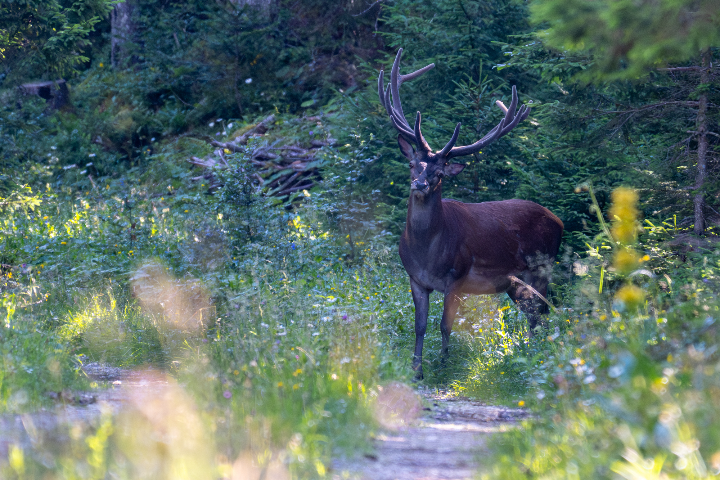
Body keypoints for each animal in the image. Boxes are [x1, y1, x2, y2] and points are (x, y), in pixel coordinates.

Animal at [378, 49, 564, 379]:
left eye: (440, 173)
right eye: (412, 164)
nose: (419, 183)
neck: (426, 253)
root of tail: (559, 221)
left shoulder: (457, 275)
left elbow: (445, 325)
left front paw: (443, 365)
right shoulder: (415, 278)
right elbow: (420, 326)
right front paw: (416, 370)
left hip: (542, 267)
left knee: (541, 314)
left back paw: (536, 359)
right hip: (515, 283)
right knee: (535, 314)